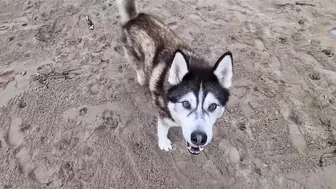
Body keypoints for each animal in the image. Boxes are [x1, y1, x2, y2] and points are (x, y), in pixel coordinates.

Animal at [117, 0, 232, 155]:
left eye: (213, 106)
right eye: (186, 104)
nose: (199, 138)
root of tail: (135, 17)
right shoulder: (163, 115)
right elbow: (162, 129)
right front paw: (163, 142)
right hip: (133, 56)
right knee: (138, 68)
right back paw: (141, 78)